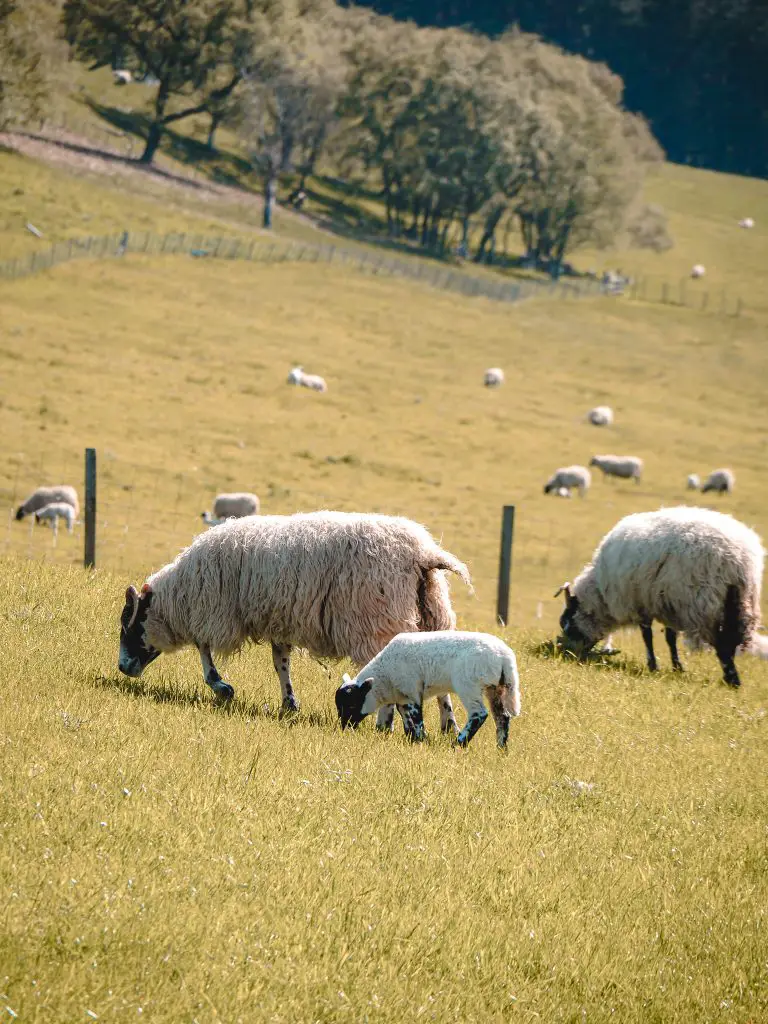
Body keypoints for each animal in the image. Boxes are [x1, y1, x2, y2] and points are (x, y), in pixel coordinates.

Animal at [117, 512, 473, 729]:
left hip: (377, 621)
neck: (181, 596)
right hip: (433, 616)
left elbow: (203, 648)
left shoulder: (216, 612)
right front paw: (288, 703)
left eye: (130, 626)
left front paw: (220, 686)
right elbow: (280, 664)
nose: (122, 668)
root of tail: (423, 553)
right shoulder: (279, 621)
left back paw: (385, 725)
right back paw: (448, 726)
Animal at [335, 626, 524, 749]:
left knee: (479, 714)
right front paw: (410, 738)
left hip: (468, 685)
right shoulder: (404, 696)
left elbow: (417, 718)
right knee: (502, 717)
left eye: (352, 704)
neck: (385, 676)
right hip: (496, 688)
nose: (344, 728)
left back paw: (458, 744)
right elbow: (405, 716)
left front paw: (420, 740)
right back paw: (501, 749)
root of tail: (504, 657)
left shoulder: (412, 690)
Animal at [557, 505, 765, 688]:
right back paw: (731, 676)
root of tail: (737, 556)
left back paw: (731, 680)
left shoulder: (640, 602)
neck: (601, 595)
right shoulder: (668, 602)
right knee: (732, 640)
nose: (568, 654)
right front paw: (676, 667)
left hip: (704, 602)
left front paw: (653, 665)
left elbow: (647, 636)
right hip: (740, 599)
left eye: (568, 625)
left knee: (721, 643)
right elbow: (670, 638)